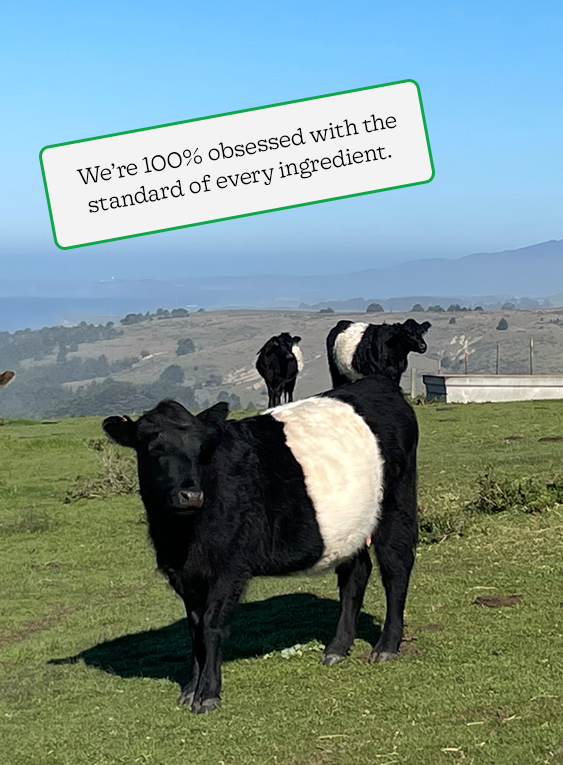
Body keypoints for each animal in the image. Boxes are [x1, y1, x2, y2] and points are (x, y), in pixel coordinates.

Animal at [102, 374, 418, 714]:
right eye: (154, 448)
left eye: (202, 450)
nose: (192, 495)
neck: (178, 536)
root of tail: (378, 383)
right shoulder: (185, 575)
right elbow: (194, 629)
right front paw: (190, 689)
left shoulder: (230, 566)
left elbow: (212, 625)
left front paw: (207, 694)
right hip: (349, 527)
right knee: (355, 575)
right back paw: (337, 647)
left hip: (397, 503)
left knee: (396, 569)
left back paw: (386, 646)